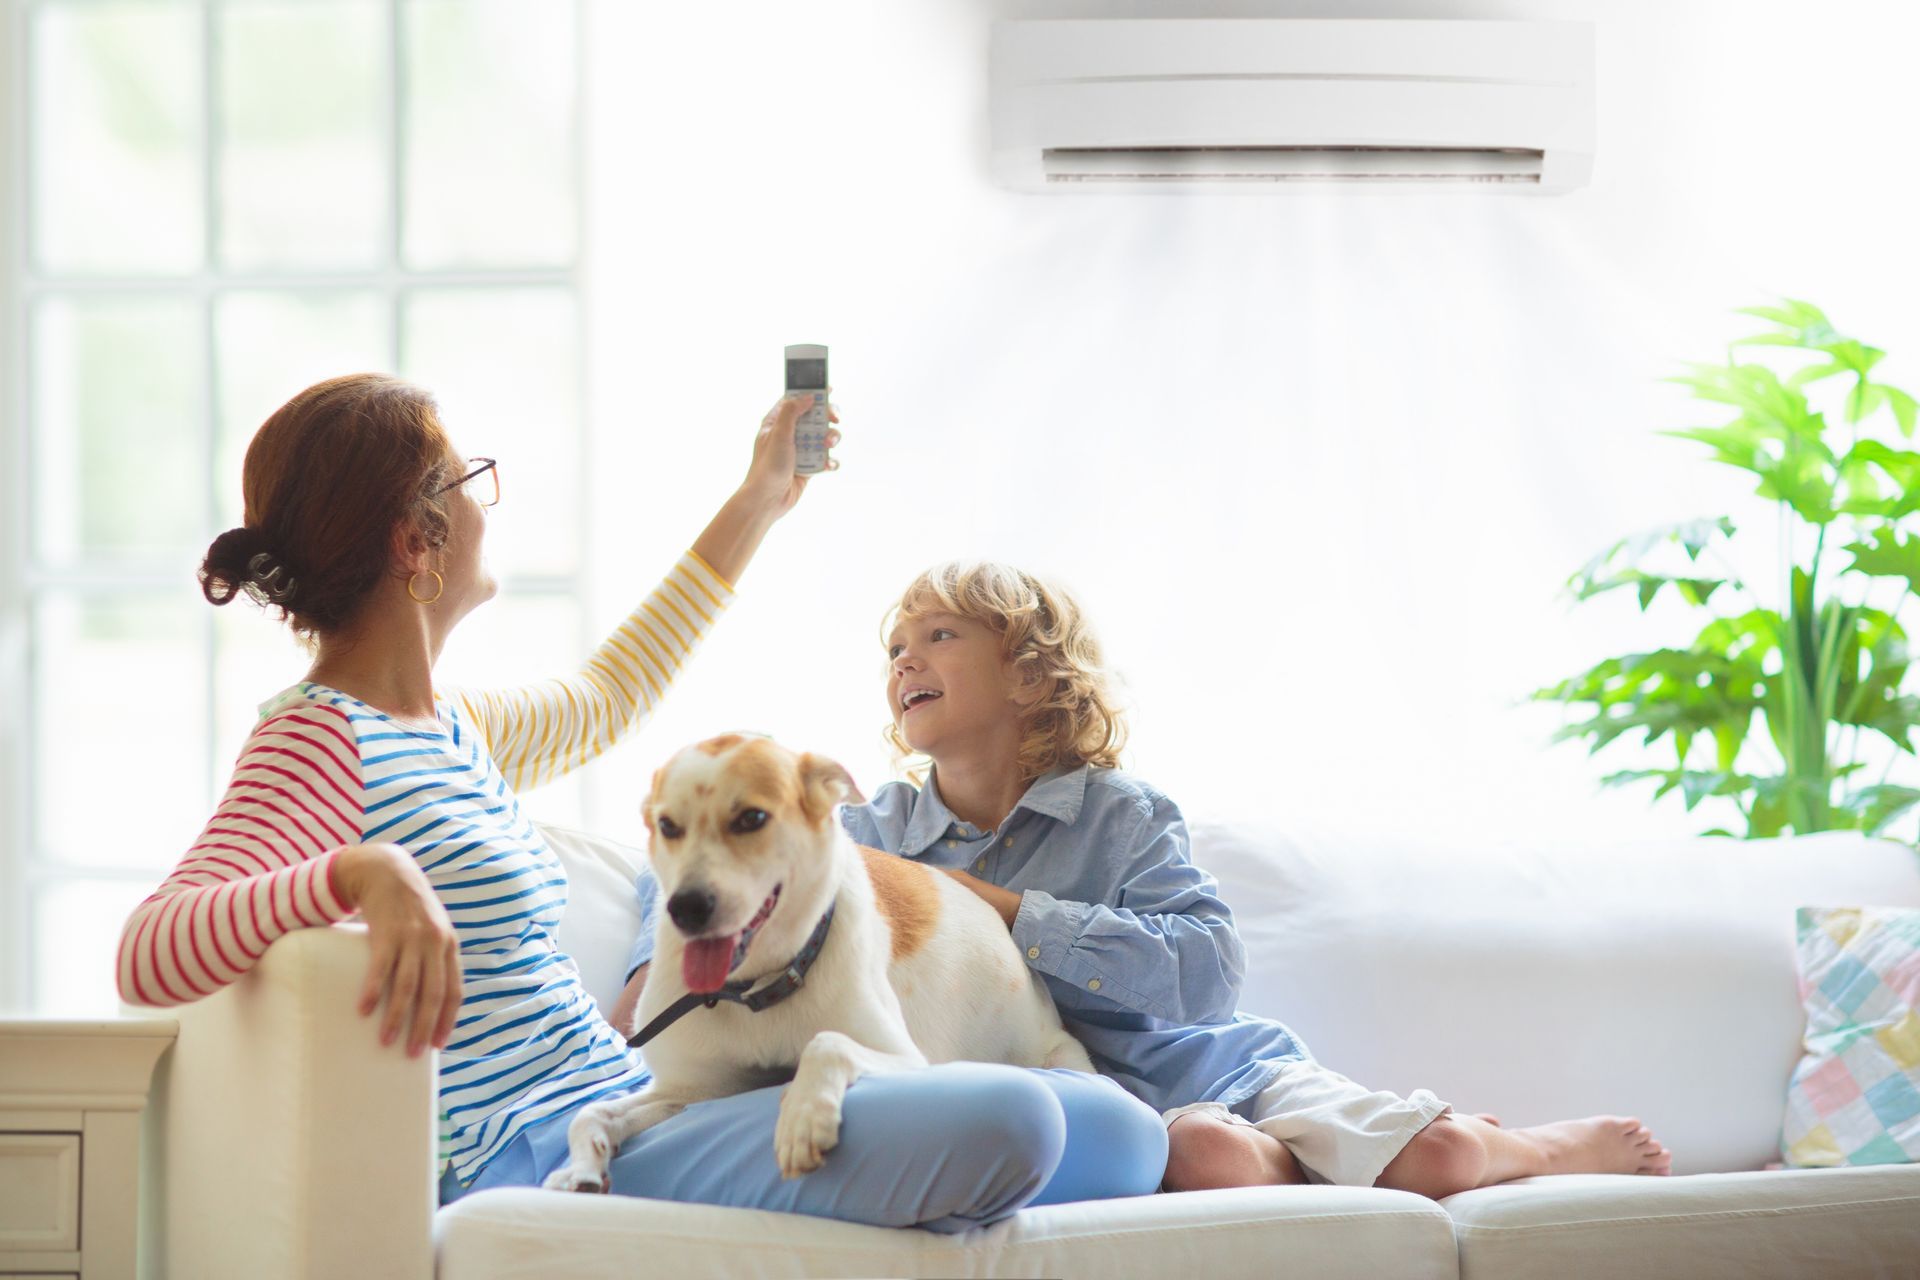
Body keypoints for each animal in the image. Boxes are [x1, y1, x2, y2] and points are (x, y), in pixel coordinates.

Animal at [545, 736, 1098, 1197]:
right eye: (667, 826)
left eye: (751, 818)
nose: (686, 908)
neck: (757, 991)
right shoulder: (697, 1089)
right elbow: (589, 1112)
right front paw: (581, 1167)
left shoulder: (905, 1057)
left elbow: (826, 1042)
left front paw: (803, 1117)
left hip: (1063, 1057)